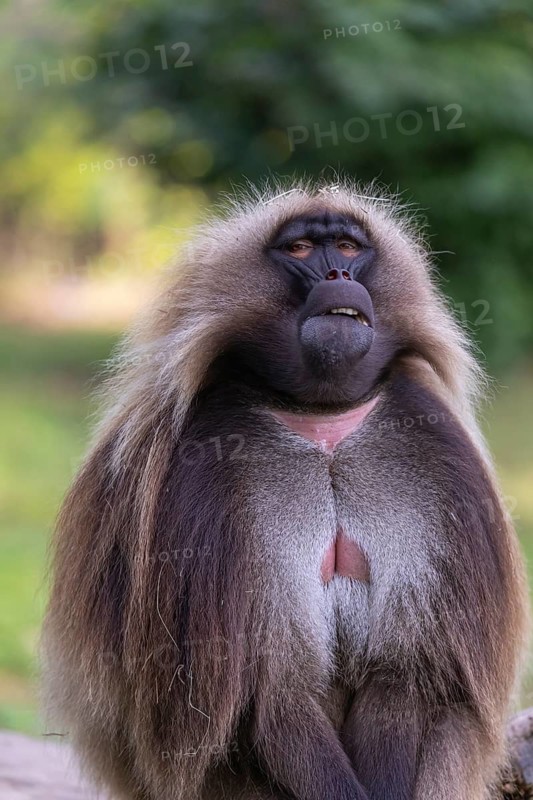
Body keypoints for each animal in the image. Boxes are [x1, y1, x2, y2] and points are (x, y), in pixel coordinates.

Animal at [41, 180, 528, 800]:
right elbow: (268, 699)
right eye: (299, 250)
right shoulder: (205, 474)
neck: (321, 420)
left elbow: (406, 675)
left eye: (347, 246)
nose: (338, 276)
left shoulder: (428, 449)